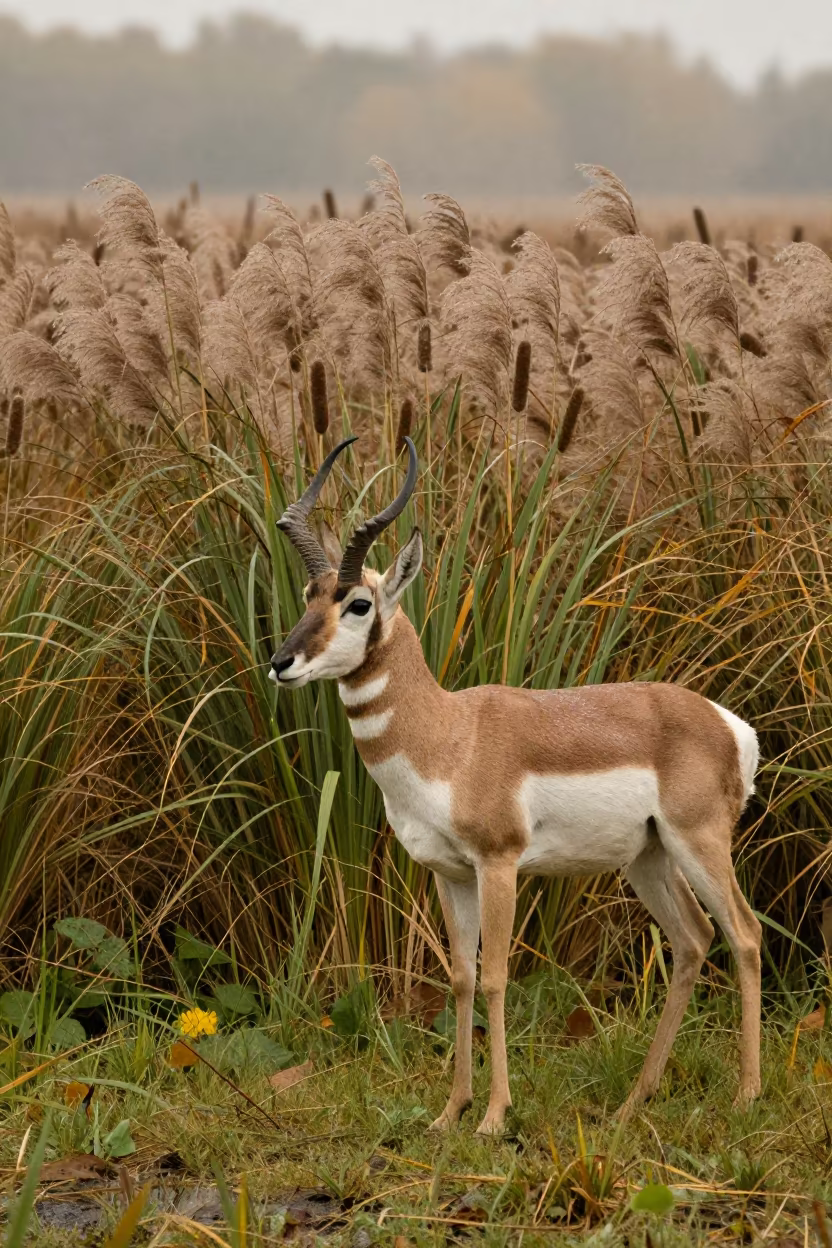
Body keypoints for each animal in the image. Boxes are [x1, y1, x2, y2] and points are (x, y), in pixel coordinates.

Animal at [271, 436, 762, 1134]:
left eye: (358, 603)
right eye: (309, 594)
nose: (281, 662)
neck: (450, 736)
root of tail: (728, 724)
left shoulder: (499, 863)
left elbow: (498, 977)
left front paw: (495, 1116)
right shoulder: (448, 874)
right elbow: (461, 980)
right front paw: (449, 1112)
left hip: (700, 843)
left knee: (744, 935)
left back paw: (745, 1095)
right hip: (648, 857)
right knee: (693, 941)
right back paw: (631, 1104)